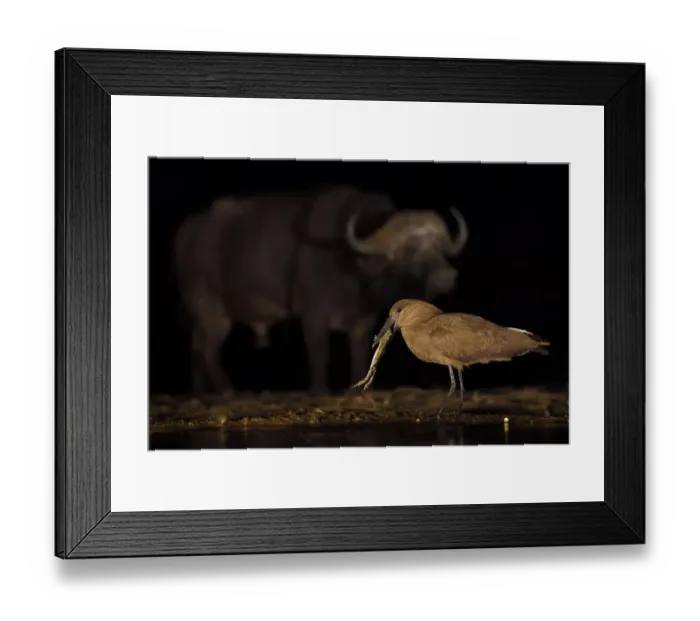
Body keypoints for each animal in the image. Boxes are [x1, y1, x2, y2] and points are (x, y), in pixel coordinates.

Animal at [173, 185, 468, 394]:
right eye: (410, 249)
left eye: (439, 245)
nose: (447, 276)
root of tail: (186, 236)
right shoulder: (312, 315)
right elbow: (319, 352)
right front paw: (319, 389)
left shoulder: (362, 320)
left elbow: (359, 351)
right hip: (212, 310)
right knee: (207, 348)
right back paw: (226, 390)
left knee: (197, 346)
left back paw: (200, 391)